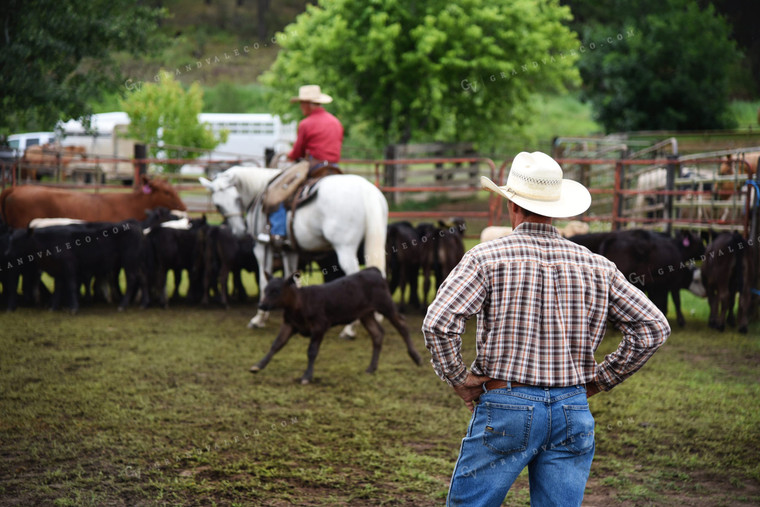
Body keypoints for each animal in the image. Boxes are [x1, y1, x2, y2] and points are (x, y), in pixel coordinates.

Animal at [199, 167, 388, 334]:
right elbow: (292, 279)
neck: (261, 192)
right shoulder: (289, 250)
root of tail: (366, 190)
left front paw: (259, 319)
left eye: (237, 199)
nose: (239, 231)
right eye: (218, 205)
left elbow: (263, 281)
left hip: (345, 250)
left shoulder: (262, 247)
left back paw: (350, 328)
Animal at [251, 268, 424, 382]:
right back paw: (371, 368)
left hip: (385, 304)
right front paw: (258, 365)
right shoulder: (289, 324)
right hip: (365, 313)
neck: (300, 302)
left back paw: (416, 357)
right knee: (377, 334)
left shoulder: (320, 325)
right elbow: (276, 344)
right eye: (265, 289)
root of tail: (373, 271)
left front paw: (307, 376)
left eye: (276, 290)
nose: (261, 305)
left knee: (401, 324)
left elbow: (311, 351)